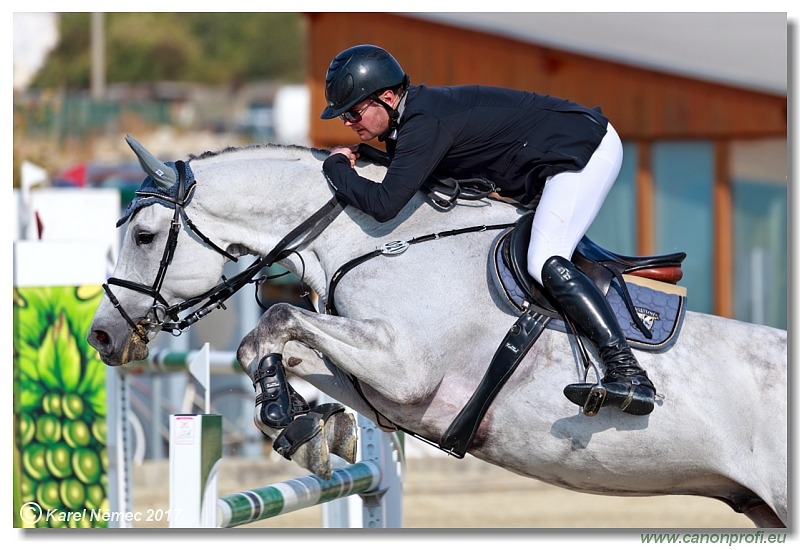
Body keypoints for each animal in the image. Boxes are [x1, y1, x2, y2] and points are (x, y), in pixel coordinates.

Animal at [87, 135, 788, 532]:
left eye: (143, 235)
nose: (101, 337)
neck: (374, 237)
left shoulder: (406, 368)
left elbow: (275, 323)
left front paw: (287, 417)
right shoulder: (384, 379)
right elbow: (291, 351)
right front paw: (313, 427)